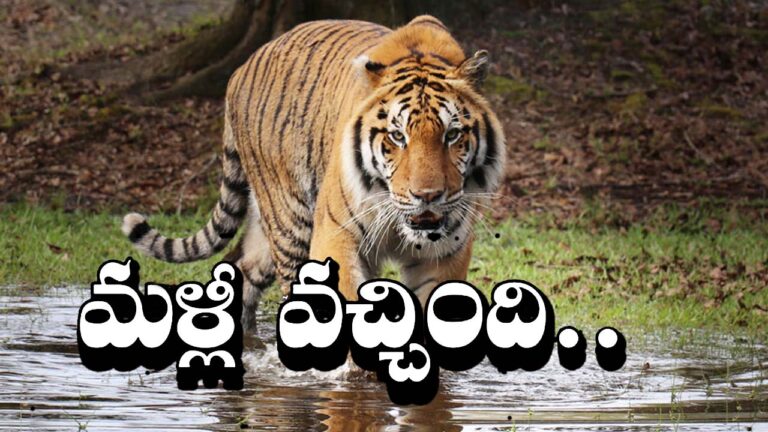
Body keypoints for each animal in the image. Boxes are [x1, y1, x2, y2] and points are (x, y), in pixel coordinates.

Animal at [122, 15, 505, 328]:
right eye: (398, 136)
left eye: (452, 135)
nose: (427, 196)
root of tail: (240, 69)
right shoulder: (337, 234)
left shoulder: (445, 255)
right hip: (291, 223)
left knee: (242, 270)